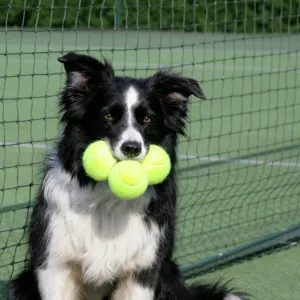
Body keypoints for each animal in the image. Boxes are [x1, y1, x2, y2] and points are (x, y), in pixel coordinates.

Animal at [8, 52, 246, 298]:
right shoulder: (54, 264)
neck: (108, 198)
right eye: (108, 116)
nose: (131, 148)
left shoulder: (142, 271)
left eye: (148, 119)